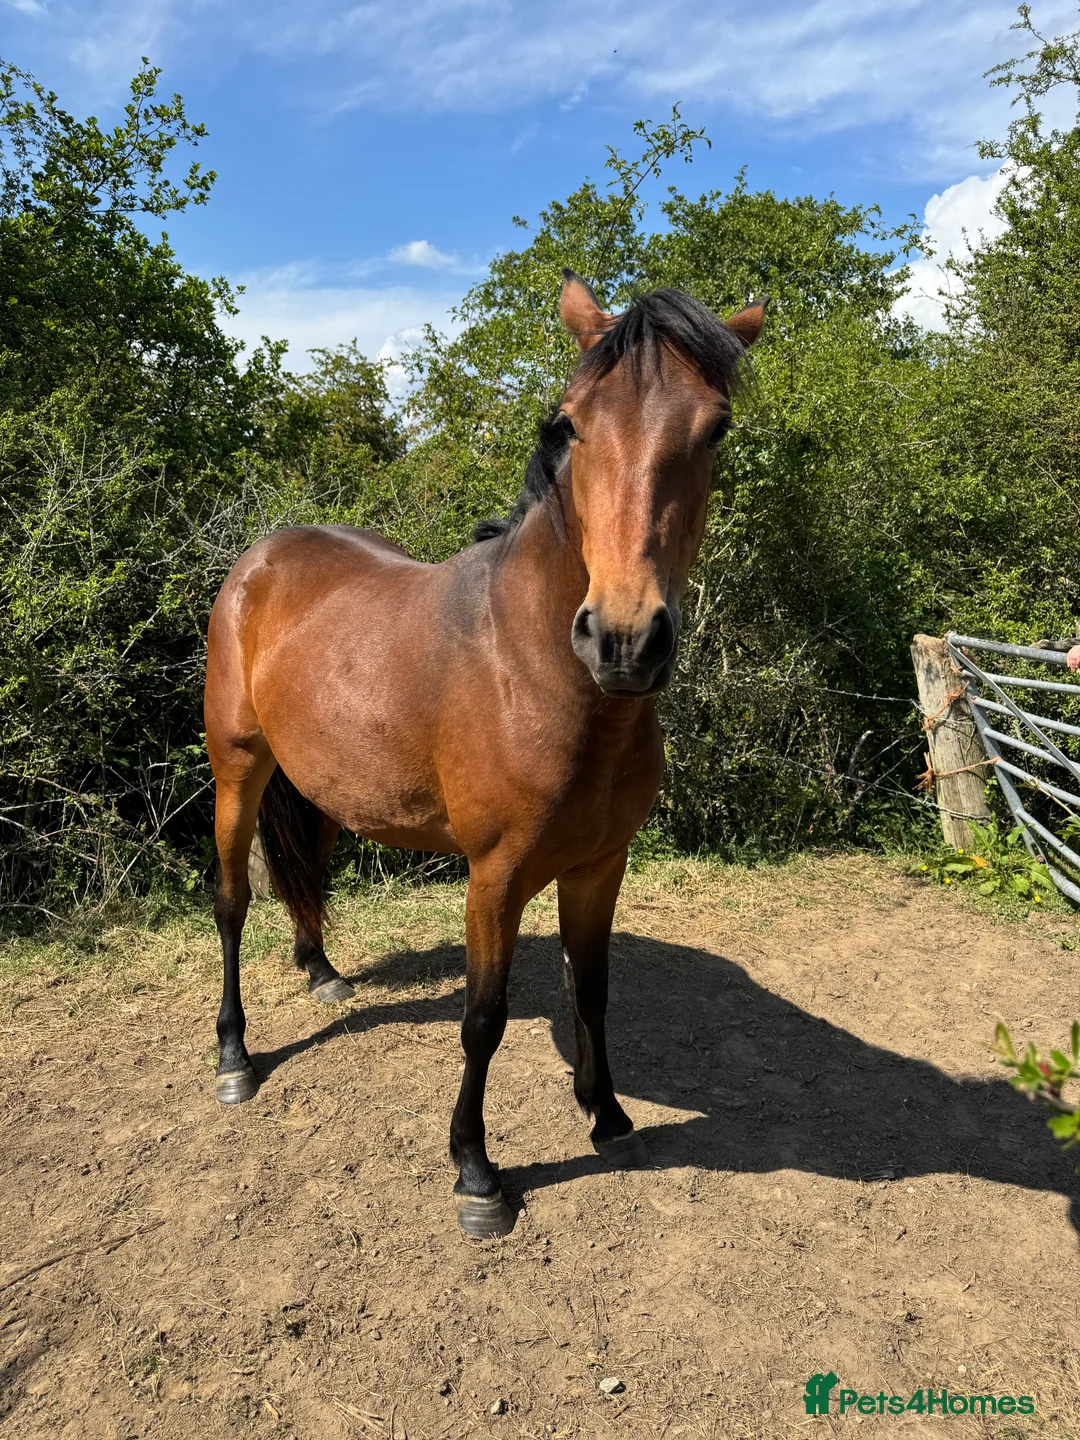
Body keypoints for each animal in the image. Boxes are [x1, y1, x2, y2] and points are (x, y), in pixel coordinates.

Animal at [203, 271, 766, 1237]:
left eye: (716, 427)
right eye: (571, 422)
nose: (624, 640)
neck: (534, 668)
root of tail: (261, 557)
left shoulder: (600, 865)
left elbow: (592, 989)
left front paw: (609, 1117)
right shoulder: (494, 877)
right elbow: (484, 1018)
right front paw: (476, 1171)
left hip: (314, 782)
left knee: (302, 872)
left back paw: (322, 972)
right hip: (237, 769)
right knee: (234, 899)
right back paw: (236, 1055)